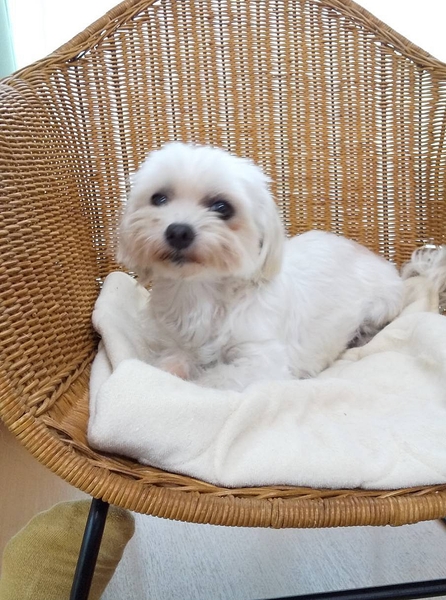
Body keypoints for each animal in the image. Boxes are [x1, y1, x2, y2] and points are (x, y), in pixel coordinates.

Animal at [117, 142, 404, 391]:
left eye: (222, 207)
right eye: (159, 199)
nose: (178, 231)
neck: (202, 293)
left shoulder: (261, 359)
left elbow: (212, 381)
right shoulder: (174, 344)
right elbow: (169, 364)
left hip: (381, 306)